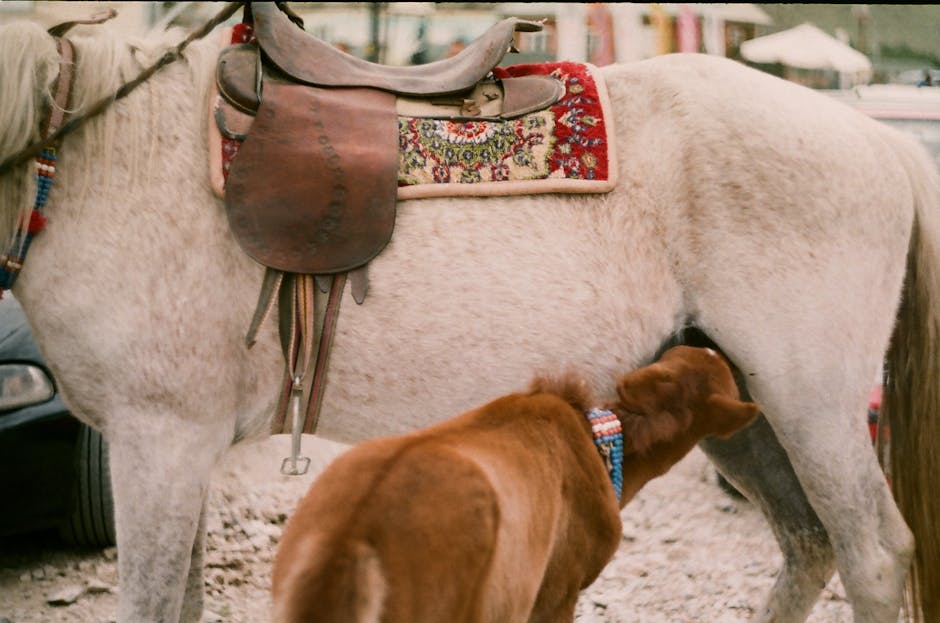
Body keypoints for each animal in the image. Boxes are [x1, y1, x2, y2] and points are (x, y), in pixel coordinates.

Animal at [1, 14, 938, 623]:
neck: (100, 149)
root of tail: (883, 139)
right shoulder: (177, 449)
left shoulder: (159, 439)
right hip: (741, 407)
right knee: (808, 543)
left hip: (811, 400)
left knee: (873, 553)